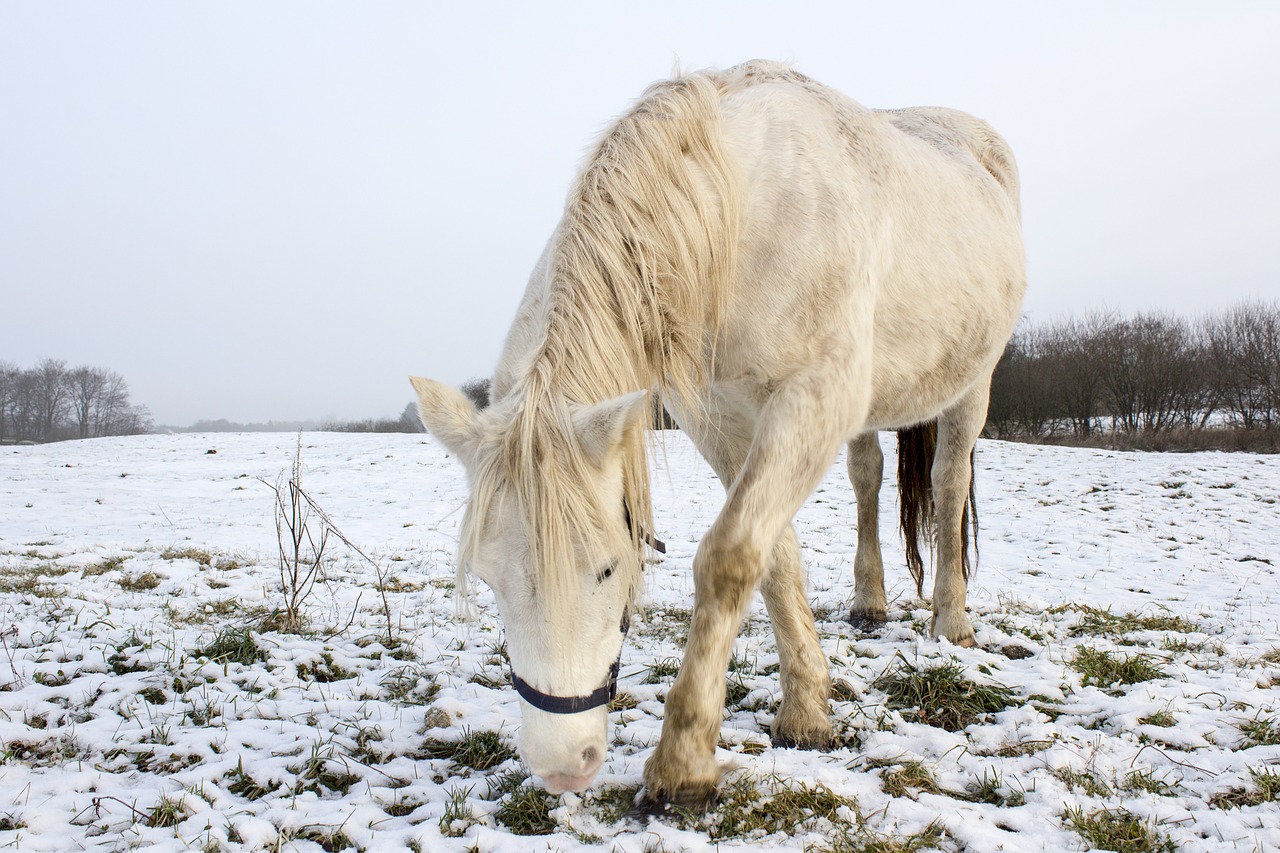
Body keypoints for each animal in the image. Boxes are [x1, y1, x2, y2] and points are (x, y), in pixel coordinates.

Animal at [414, 59, 1024, 804]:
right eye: (488, 575)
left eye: (610, 567)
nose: (561, 764)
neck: (731, 214)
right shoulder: (720, 418)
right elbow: (774, 556)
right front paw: (807, 709)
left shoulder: (812, 400)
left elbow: (730, 557)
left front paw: (684, 761)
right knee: (868, 479)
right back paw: (869, 603)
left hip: (973, 382)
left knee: (948, 482)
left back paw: (950, 621)